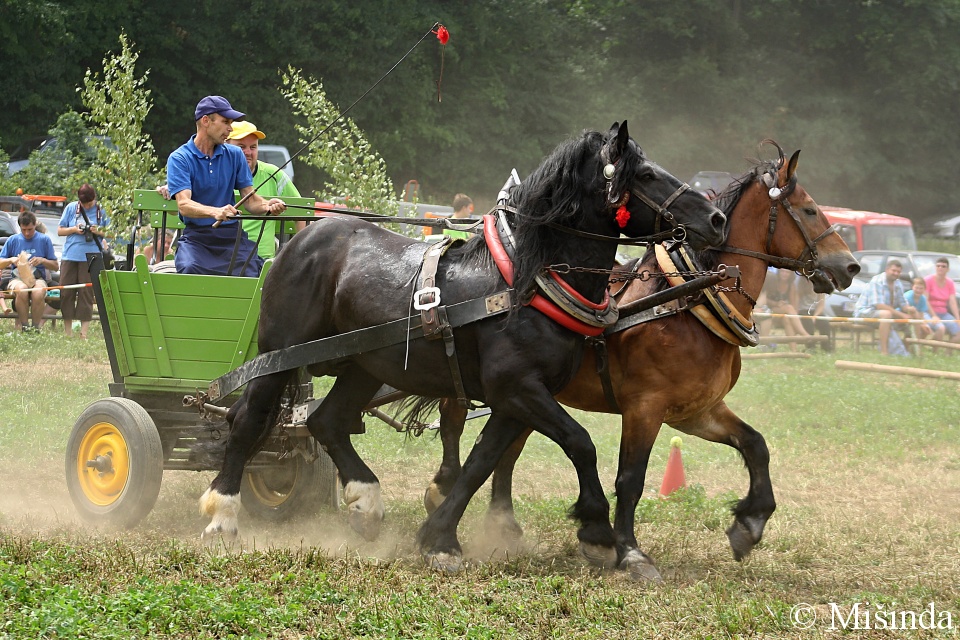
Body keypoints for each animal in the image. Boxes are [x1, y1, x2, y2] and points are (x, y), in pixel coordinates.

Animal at [204, 120, 728, 568]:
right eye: (646, 173)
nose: (718, 218)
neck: (526, 283)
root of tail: (301, 238)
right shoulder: (518, 387)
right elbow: (580, 443)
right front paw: (597, 530)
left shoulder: (516, 397)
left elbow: (481, 463)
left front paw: (440, 538)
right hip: (278, 356)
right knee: (247, 421)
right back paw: (222, 515)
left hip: (364, 364)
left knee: (325, 421)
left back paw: (366, 502)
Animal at [424, 144, 860, 580]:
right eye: (809, 210)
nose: (850, 266)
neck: (688, 303)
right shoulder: (645, 408)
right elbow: (630, 479)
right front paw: (628, 551)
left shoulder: (695, 412)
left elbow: (756, 444)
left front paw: (749, 523)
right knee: (455, 420)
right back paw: (444, 489)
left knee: (505, 451)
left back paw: (502, 523)